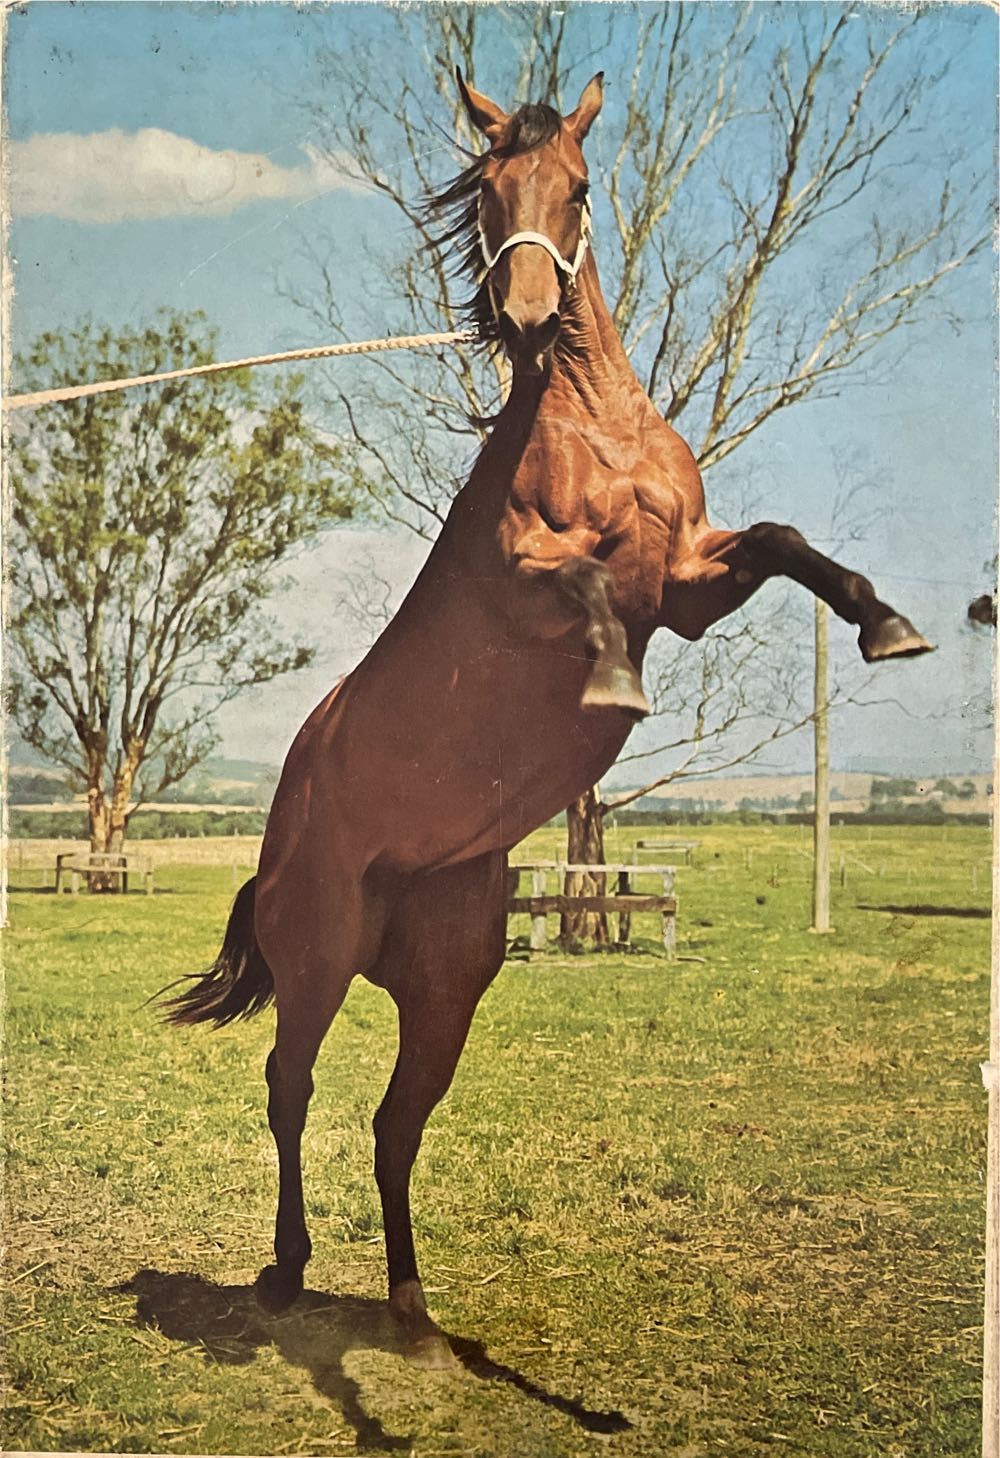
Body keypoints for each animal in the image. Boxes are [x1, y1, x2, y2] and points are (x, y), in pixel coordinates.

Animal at [164, 71, 931, 1371]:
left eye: (574, 187)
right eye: (485, 191)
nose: (524, 318)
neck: (589, 427)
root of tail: (283, 835)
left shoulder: (689, 584)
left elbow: (781, 541)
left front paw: (886, 625)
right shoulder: (545, 579)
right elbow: (580, 587)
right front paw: (614, 683)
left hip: (445, 988)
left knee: (394, 1123)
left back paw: (412, 1312)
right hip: (317, 958)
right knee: (288, 1086)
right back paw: (285, 1270)